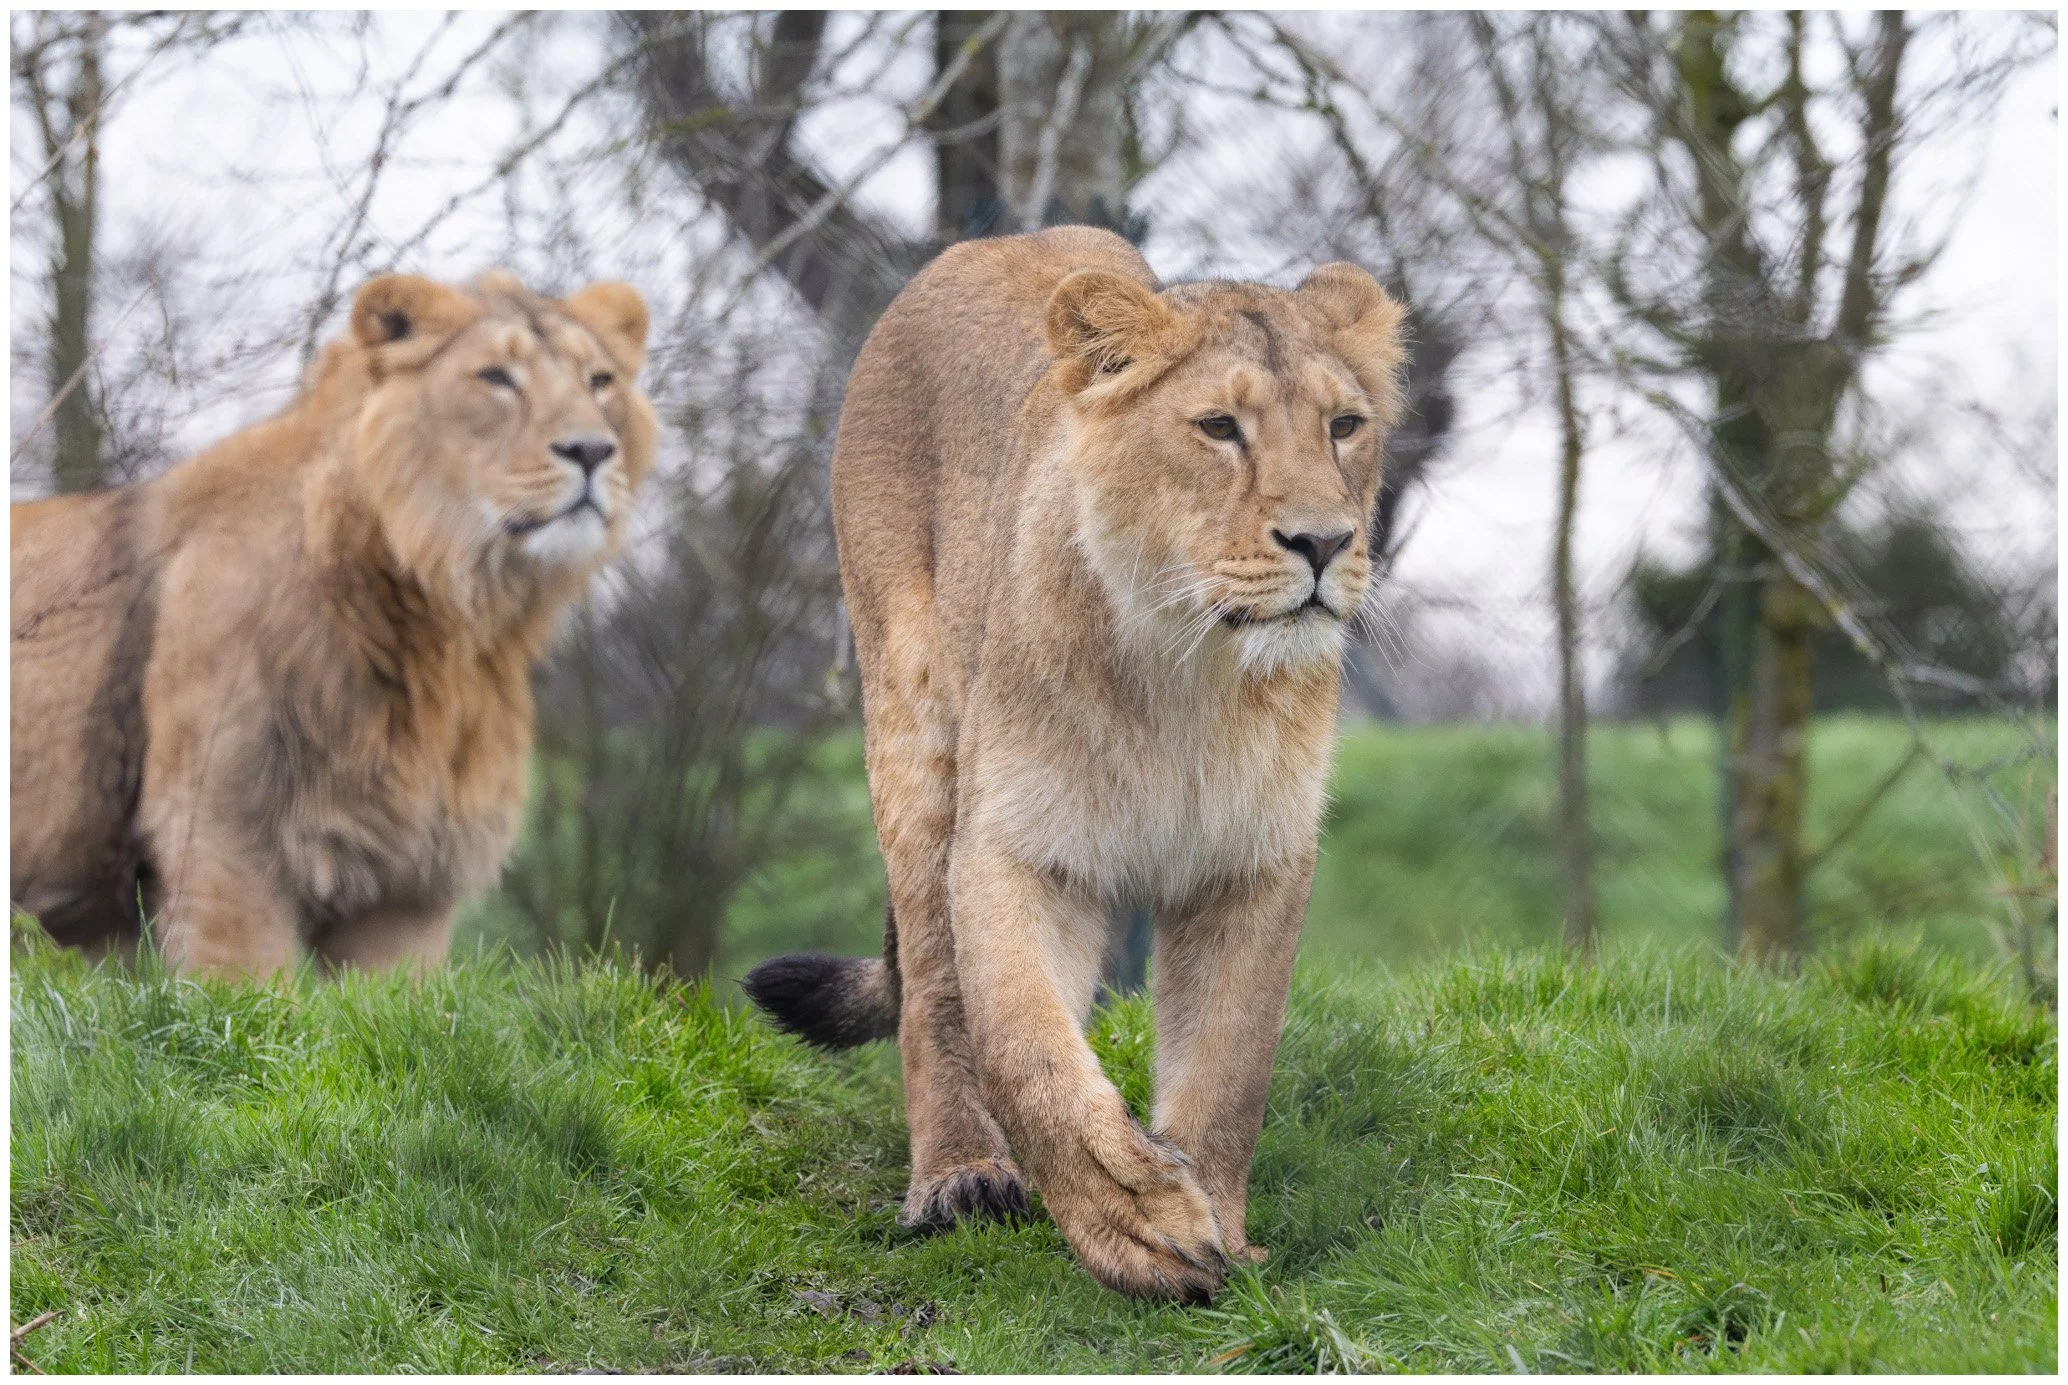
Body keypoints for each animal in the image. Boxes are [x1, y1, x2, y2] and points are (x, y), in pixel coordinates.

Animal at [10, 270, 655, 976]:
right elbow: (242, 997)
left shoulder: (408, 886)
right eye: (496, 377)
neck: (449, 623)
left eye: (599, 381)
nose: (593, 450)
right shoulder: (222, 841)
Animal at [743, 226, 1406, 1300]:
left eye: (1345, 425)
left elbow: (1230, 1065)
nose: (1324, 540)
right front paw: (1137, 1224)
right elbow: (1024, 1046)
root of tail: (983, 243)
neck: (1188, 674)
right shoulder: (1016, 846)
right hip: (913, 729)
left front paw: (1217, 1223)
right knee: (935, 993)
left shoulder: (1255, 861)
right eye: (1219, 427)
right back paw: (960, 1180)